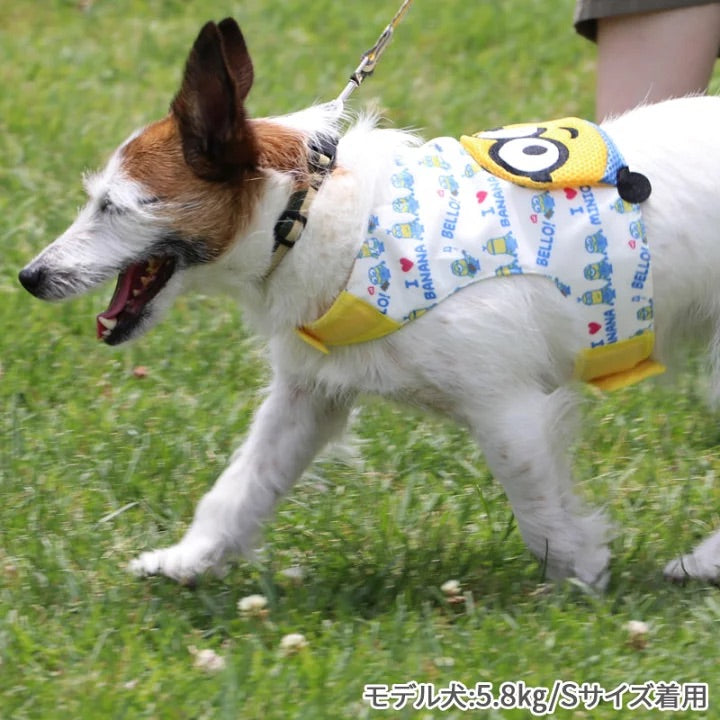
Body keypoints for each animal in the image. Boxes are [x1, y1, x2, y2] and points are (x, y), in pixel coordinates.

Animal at [15, 18, 720, 592]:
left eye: (114, 207)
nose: (28, 276)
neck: (311, 213)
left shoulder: (507, 408)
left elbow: (537, 506)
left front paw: (580, 574)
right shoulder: (307, 398)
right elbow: (241, 487)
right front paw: (188, 560)